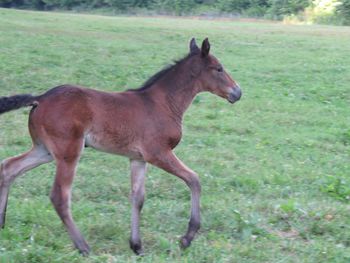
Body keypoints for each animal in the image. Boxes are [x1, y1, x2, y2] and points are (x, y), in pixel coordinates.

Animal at [0, 38, 241, 256]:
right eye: (219, 68)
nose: (237, 92)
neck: (163, 103)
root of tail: (40, 98)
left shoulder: (138, 158)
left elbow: (138, 198)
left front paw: (137, 246)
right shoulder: (158, 153)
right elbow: (194, 179)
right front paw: (187, 238)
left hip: (45, 150)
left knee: (9, 167)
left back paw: (2, 222)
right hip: (69, 152)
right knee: (60, 196)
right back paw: (83, 246)